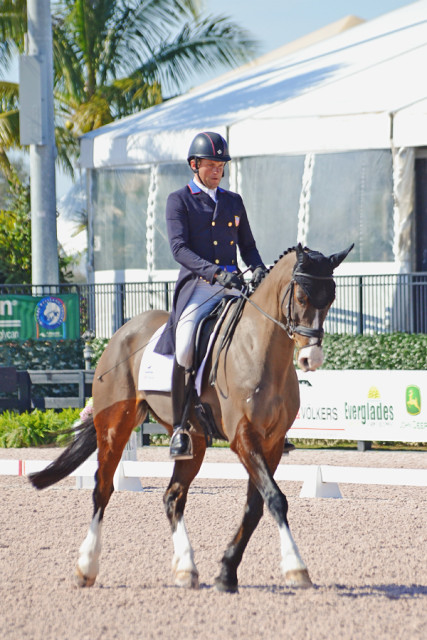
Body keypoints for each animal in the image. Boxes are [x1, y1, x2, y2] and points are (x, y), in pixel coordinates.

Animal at [28, 242, 352, 592]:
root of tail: (122, 332)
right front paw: (295, 567)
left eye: (331, 298)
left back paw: (186, 569)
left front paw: (226, 572)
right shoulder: (243, 437)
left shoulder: (273, 443)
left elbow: (256, 504)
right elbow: (276, 499)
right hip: (115, 427)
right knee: (102, 489)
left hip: (193, 440)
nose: (310, 358)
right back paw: (86, 567)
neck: (259, 350)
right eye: (302, 297)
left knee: (173, 496)